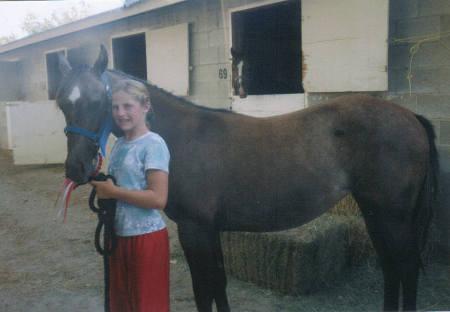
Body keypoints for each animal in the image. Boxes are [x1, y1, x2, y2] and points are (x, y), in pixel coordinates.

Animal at [54, 46, 438, 312]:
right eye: (61, 103)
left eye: (99, 100)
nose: (77, 169)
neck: (182, 137)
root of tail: (412, 118)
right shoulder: (211, 229)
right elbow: (219, 283)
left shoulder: (195, 228)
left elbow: (204, 288)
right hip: (376, 213)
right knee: (391, 268)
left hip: (393, 217)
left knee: (405, 268)